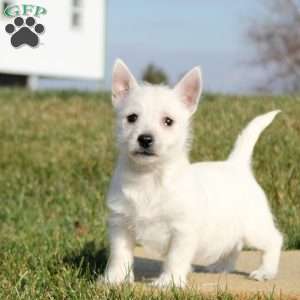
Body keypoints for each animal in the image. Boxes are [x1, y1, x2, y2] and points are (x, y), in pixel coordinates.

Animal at [102, 59, 282, 288]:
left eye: (168, 121)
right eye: (132, 118)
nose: (145, 139)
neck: (150, 177)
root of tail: (237, 164)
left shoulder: (182, 231)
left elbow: (175, 257)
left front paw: (169, 281)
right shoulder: (121, 224)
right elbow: (120, 254)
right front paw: (115, 278)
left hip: (255, 227)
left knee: (274, 240)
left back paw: (266, 271)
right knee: (234, 245)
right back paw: (221, 266)